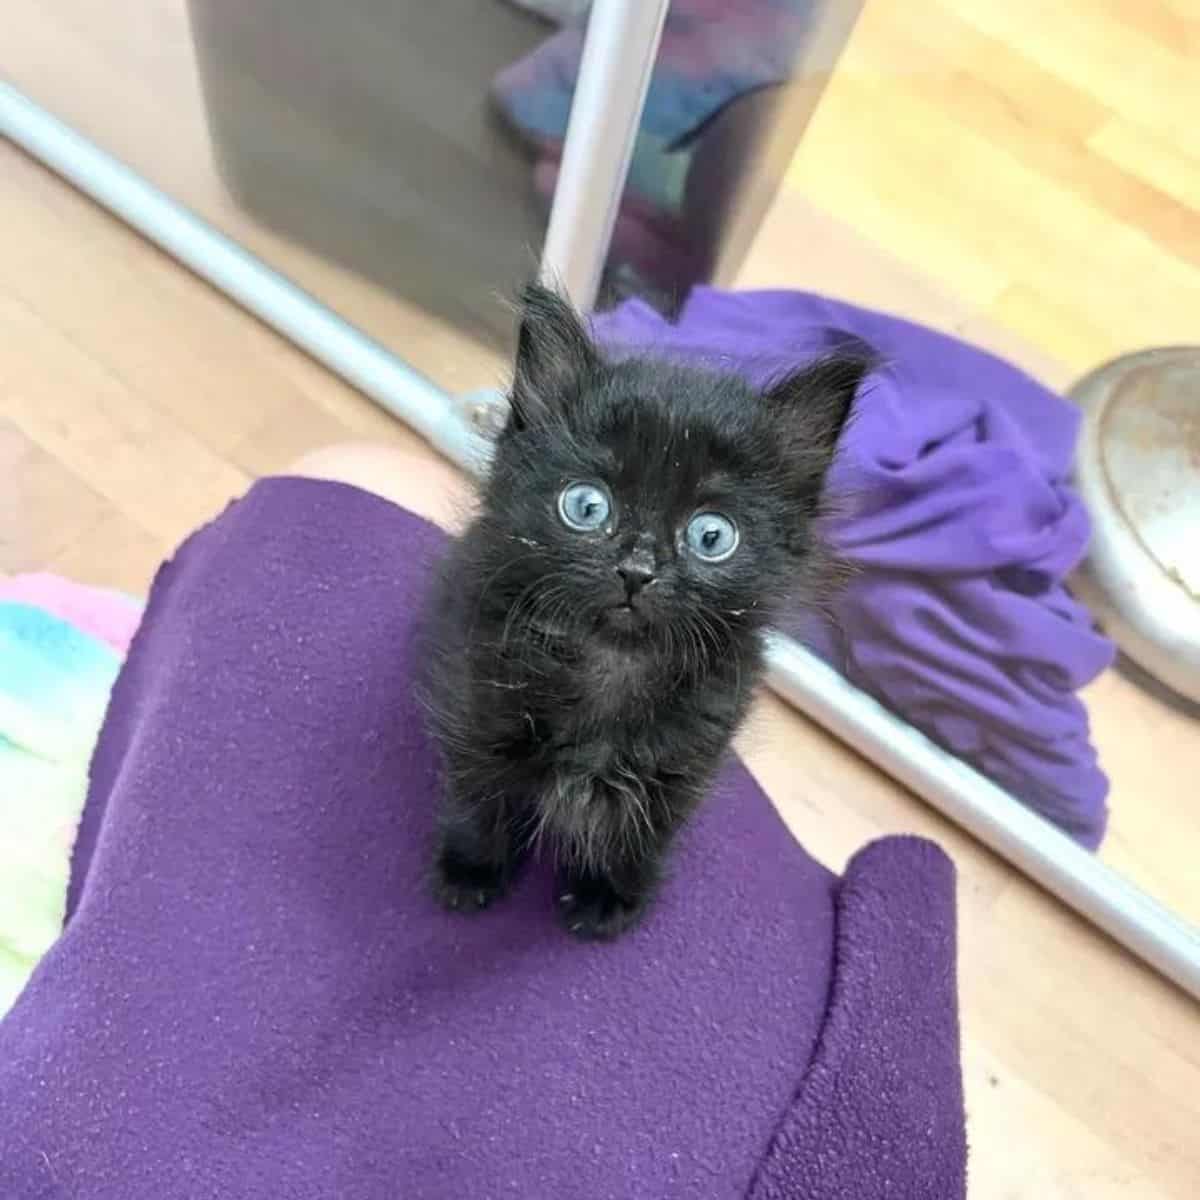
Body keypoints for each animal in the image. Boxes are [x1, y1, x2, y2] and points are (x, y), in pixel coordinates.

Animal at [427, 285, 868, 940]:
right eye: (587, 506)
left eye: (712, 536)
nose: (636, 570)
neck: (615, 663)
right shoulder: (477, 706)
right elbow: (479, 797)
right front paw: (471, 870)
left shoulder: (689, 759)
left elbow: (641, 833)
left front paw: (607, 895)